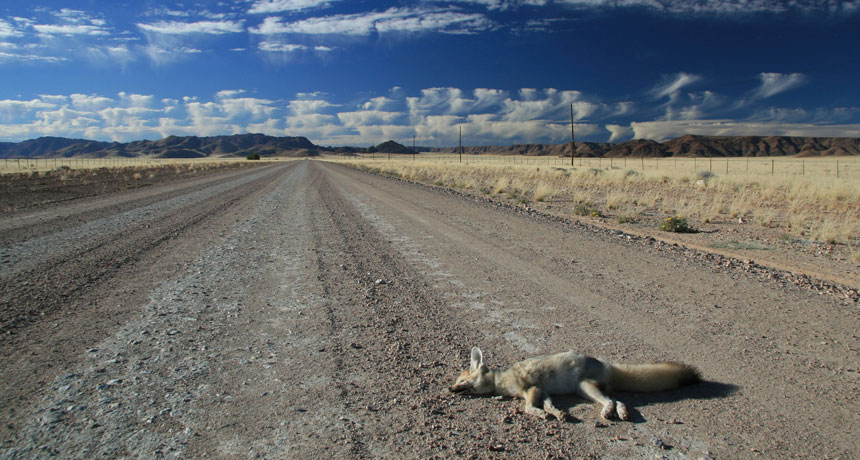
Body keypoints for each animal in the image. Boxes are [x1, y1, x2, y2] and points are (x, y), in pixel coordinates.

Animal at [449, 347, 700, 421]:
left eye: (461, 380)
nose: (450, 388)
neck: (501, 379)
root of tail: (607, 364)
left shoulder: (532, 389)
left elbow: (529, 407)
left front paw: (540, 414)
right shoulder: (542, 391)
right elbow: (550, 405)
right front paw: (557, 413)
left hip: (586, 388)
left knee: (610, 400)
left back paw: (609, 412)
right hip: (586, 391)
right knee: (618, 400)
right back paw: (621, 412)